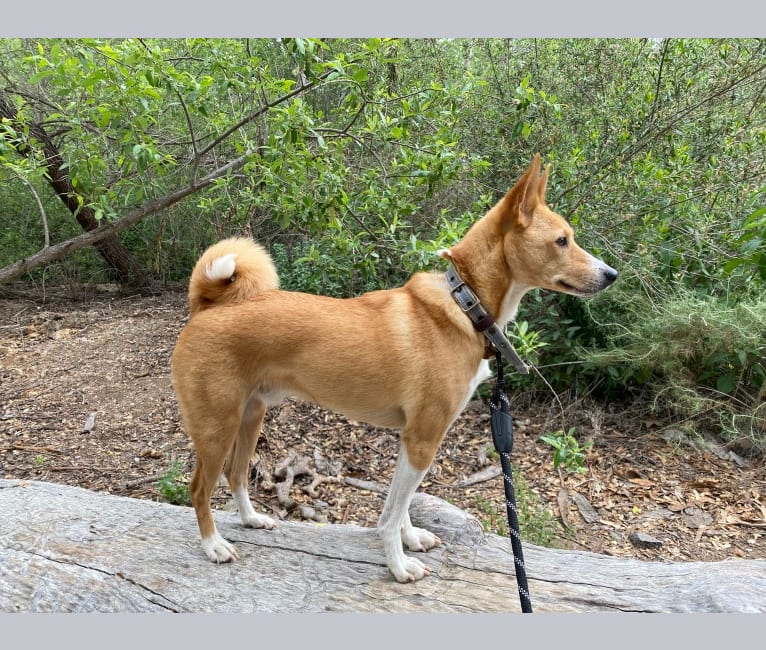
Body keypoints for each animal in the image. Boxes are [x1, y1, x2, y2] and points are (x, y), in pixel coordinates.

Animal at [172, 154, 616, 580]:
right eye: (562, 240)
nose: (611, 274)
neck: (464, 305)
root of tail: (206, 308)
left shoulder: (411, 439)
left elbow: (398, 507)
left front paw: (410, 539)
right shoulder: (424, 439)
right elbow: (390, 514)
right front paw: (399, 565)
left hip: (250, 416)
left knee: (235, 475)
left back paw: (251, 520)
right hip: (216, 428)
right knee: (199, 488)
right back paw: (213, 545)